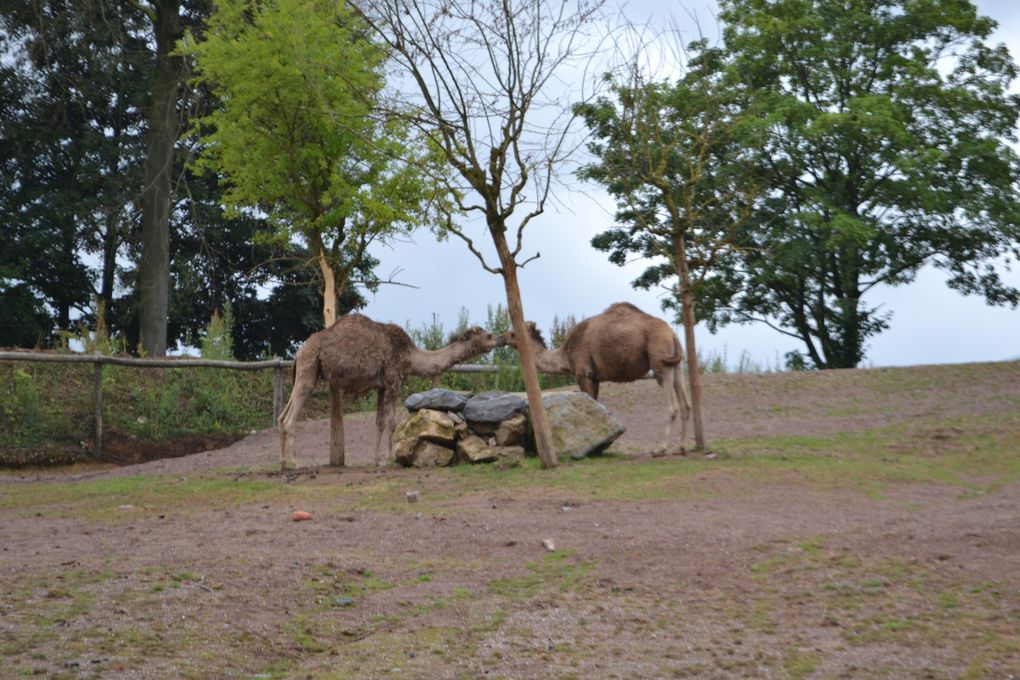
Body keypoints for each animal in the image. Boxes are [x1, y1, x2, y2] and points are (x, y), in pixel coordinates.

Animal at [277, 314, 503, 468]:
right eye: (488, 335)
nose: (500, 338)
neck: (412, 355)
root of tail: (300, 351)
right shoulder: (394, 379)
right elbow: (392, 421)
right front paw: (392, 458)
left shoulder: (381, 385)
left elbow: (379, 422)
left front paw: (377, 459)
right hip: (309, 369)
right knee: (290, 419)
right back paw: (296, 463)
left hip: (304, 372)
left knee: (281, 416)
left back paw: (282, 462)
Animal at [503, 303, 693, 452]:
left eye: (513, 333)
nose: (500, 337)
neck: (565, 355)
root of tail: (672, 334)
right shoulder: (595, 378)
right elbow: (596, 405)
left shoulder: (583, 373)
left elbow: (590, 402)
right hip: (676, 364)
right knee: (685, 403)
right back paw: (682, 447)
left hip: (660, 361)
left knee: (673, 406)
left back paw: (661, 449)